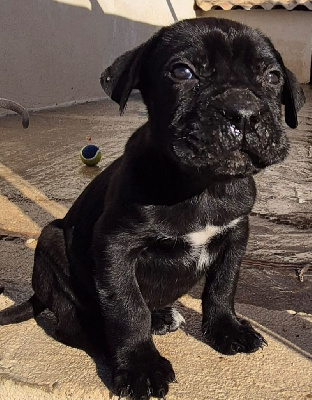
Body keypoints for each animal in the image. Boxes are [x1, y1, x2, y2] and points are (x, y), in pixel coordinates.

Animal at [0, 18, 304, 400]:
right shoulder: (115, 245)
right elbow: (127, 308)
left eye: (273, 76)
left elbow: (223, 285)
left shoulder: (236, 233)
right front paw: (139, 366)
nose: (244, 112)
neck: (203, 185)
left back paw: (161, 316)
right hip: (51, 240)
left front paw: (227, 330)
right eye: (182, 71)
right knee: (73, 324)